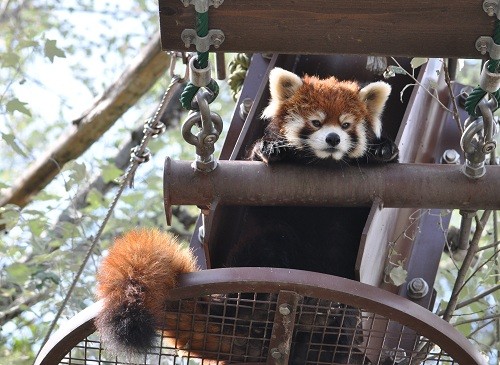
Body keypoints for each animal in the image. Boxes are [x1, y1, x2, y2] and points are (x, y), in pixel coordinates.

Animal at [94, 67, 398, 362]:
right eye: (316, 122)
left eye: (346, 125)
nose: (333, 138)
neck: (319, 164)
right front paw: (269, 148)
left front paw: (383, 149)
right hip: (261, 255)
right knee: (270, 244)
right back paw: (260, 310)